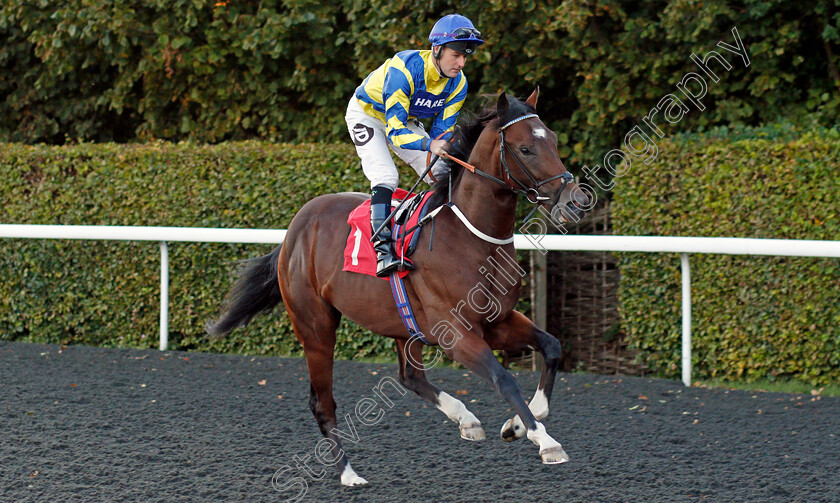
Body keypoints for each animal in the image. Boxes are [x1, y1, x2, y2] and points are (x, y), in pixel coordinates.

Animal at [208, 87, 592, 488]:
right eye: (525, 149)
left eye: (553, 140)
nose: (576, 202)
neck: (471, 238)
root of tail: (293, 231)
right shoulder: (457, 333)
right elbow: (504, 379)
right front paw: (545, 441)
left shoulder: (498, 321)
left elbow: (551, 347)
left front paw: (518, 425)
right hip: (315, 326)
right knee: (323, 402)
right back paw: (349, 474)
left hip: (402, 325)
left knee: (410, 376)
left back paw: (465, 419)